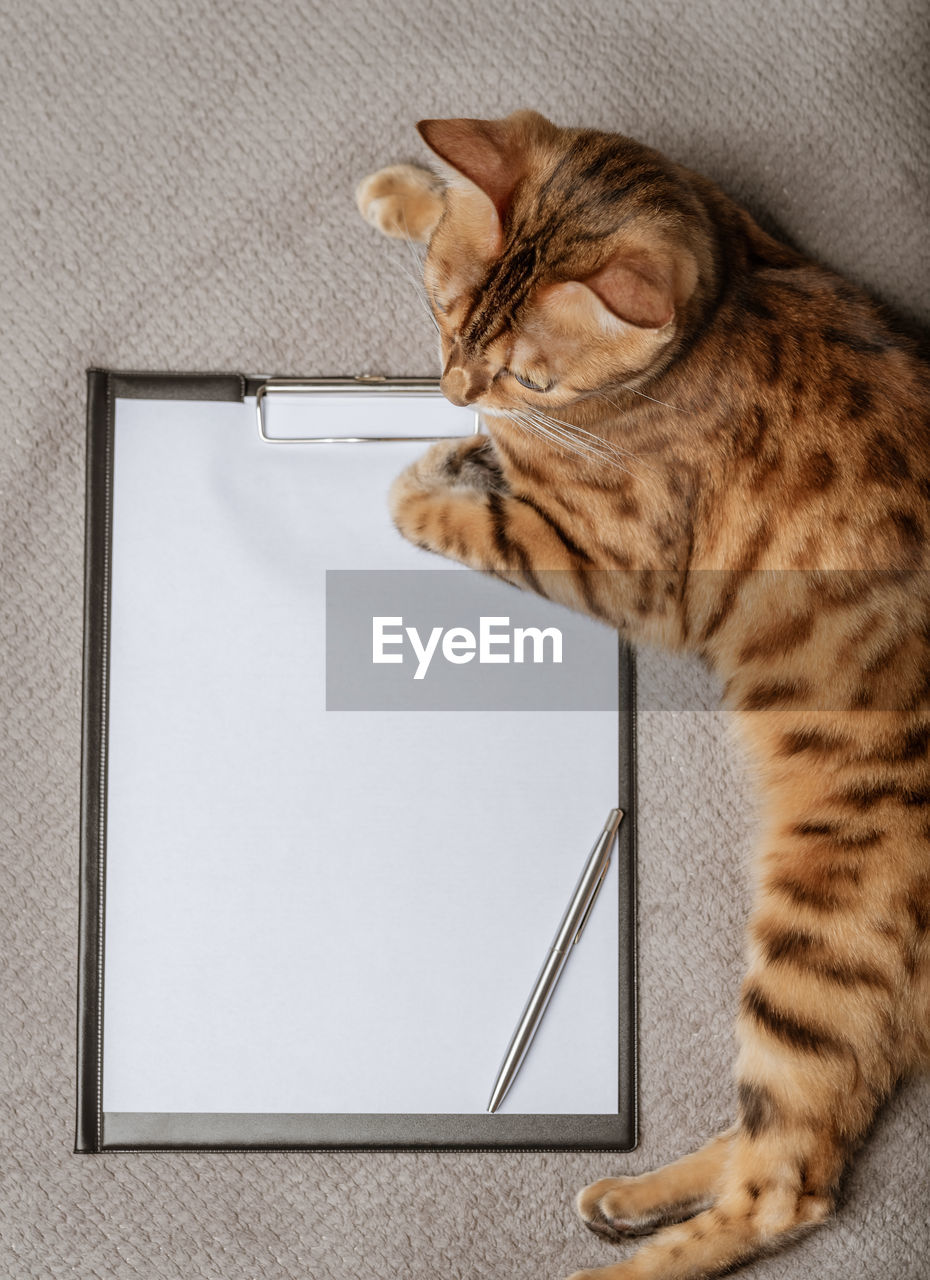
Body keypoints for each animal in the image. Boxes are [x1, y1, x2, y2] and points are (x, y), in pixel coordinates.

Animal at [353, 112, 926, 1280]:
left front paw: (430, 473)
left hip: (824, 931)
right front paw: (407, 191)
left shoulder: (614, 563)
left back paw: (606, 1265)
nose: (454, 392)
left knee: (790, 1184)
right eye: (443, 317)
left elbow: (459, 518)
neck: (725, 304)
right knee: (781, 1136)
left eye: (536, 379)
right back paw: (626, 1197)